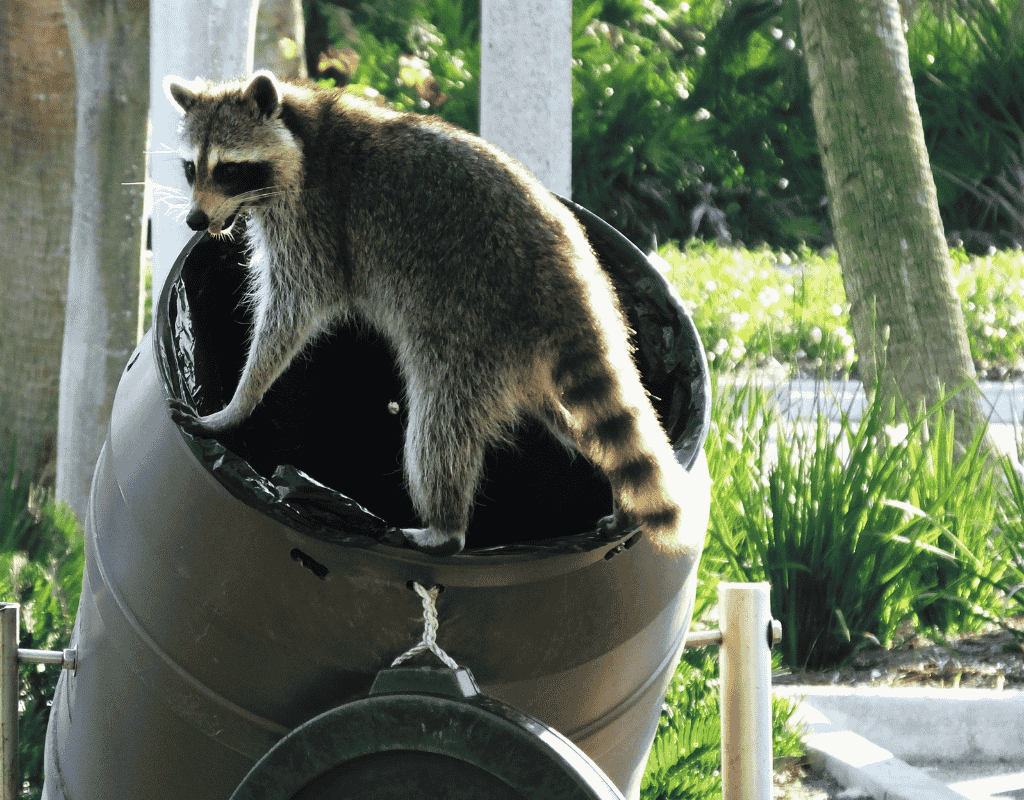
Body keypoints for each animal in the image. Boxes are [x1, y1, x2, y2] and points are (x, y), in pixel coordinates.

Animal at [163, 70, 700, 558]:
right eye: (191, 168)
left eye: (229, 169)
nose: (194, 220)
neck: (302, 131)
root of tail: (570, 279)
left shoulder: (315, 221)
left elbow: (292, 312)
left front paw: (239, 402)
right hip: (523, 356)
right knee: (578, 421)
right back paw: (620, 493)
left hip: (472, 328)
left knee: (440, 423)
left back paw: (445, 528)